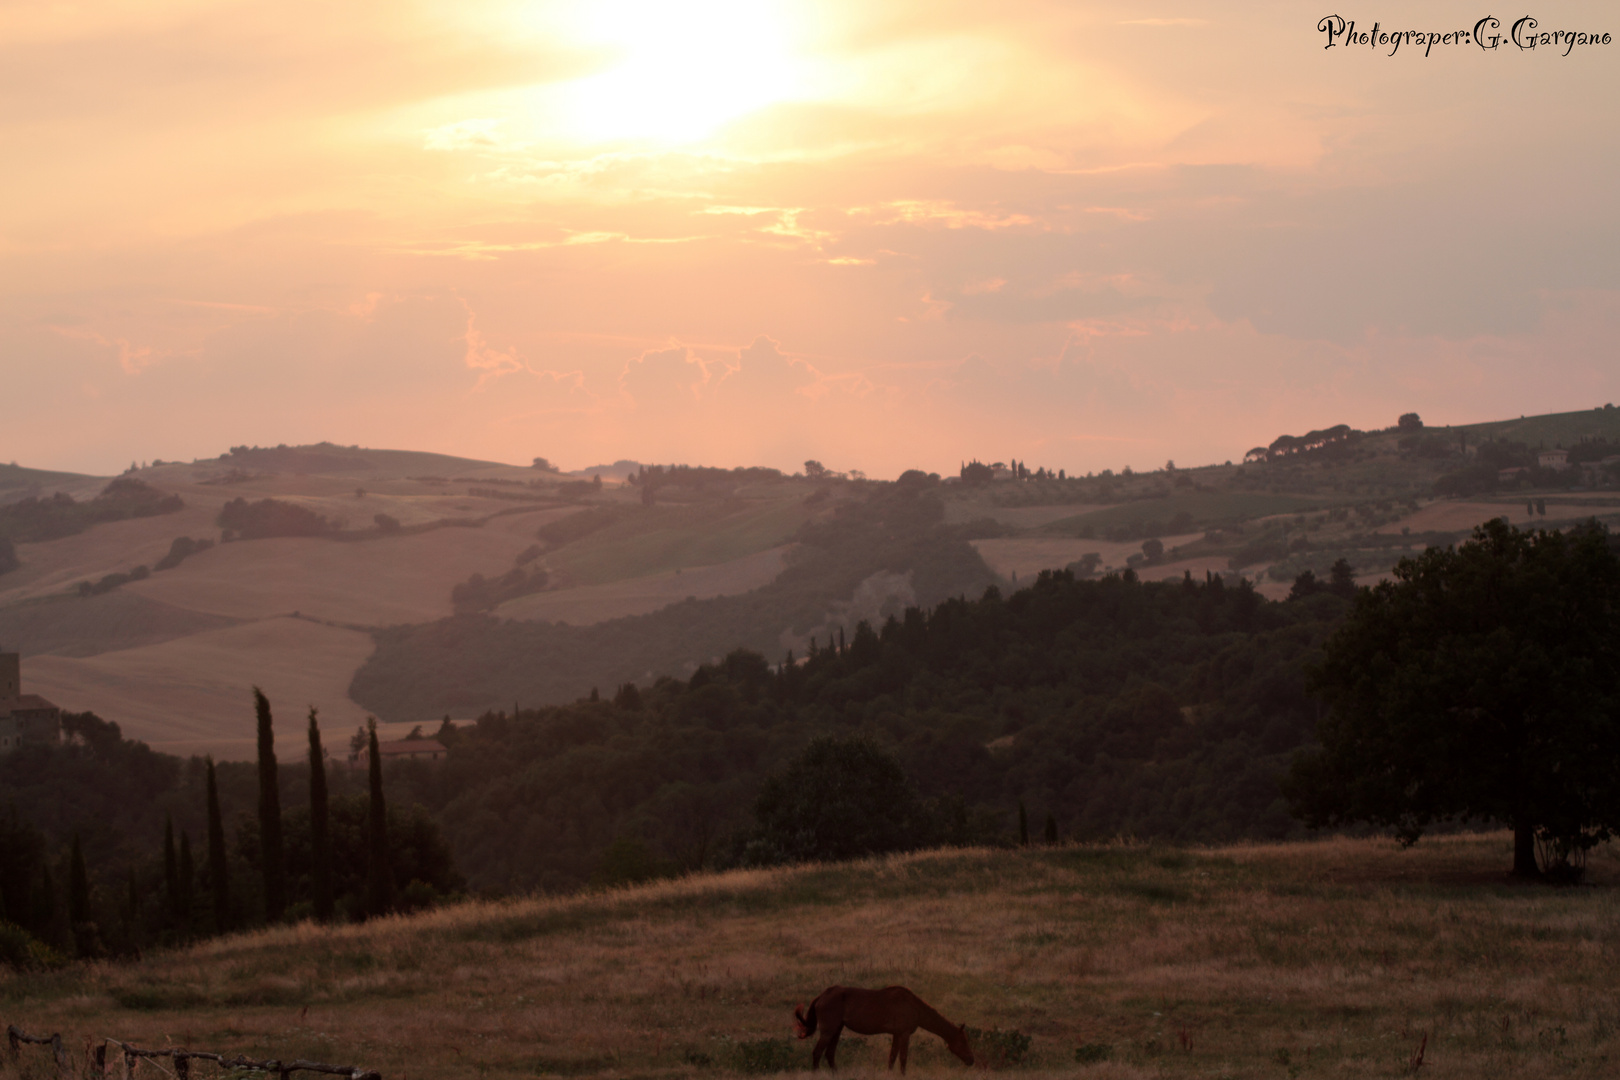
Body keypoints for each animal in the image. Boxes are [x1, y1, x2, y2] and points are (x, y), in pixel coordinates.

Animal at [787, 990, 965, 1075]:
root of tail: (821, 996)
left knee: (829, 1053)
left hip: (837, 1029)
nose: (970, 1060)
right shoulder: (905, 1033)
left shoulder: (897, 1033)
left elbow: (892, 1057)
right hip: (828, 1030)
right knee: (817, 1052)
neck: (916, 1008)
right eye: (964, 1041)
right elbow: (903, 1057)